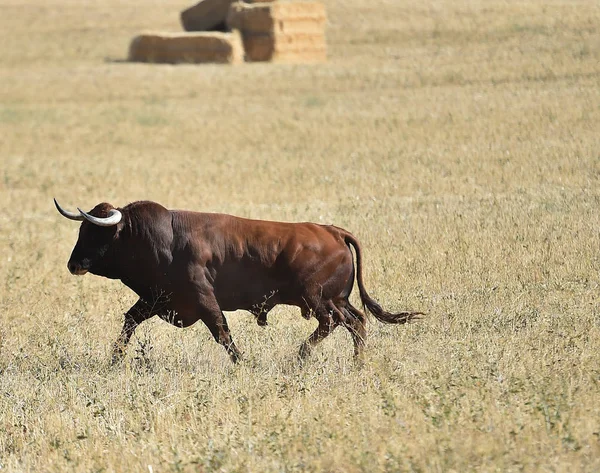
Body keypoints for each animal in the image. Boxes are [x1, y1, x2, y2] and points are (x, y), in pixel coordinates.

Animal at [56, 197, 422, 364]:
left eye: (94, 232)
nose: (73, 264)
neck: (158, 239)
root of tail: (332, 231)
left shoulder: (203, 299)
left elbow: (222, 332)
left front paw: (242, 362)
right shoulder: (155, 298)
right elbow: (129, 320)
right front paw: (115, 359)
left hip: (317, 299)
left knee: (331, 323)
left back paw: (300, 355)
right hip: (337, 299)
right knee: (356, 322)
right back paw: (357, 362)